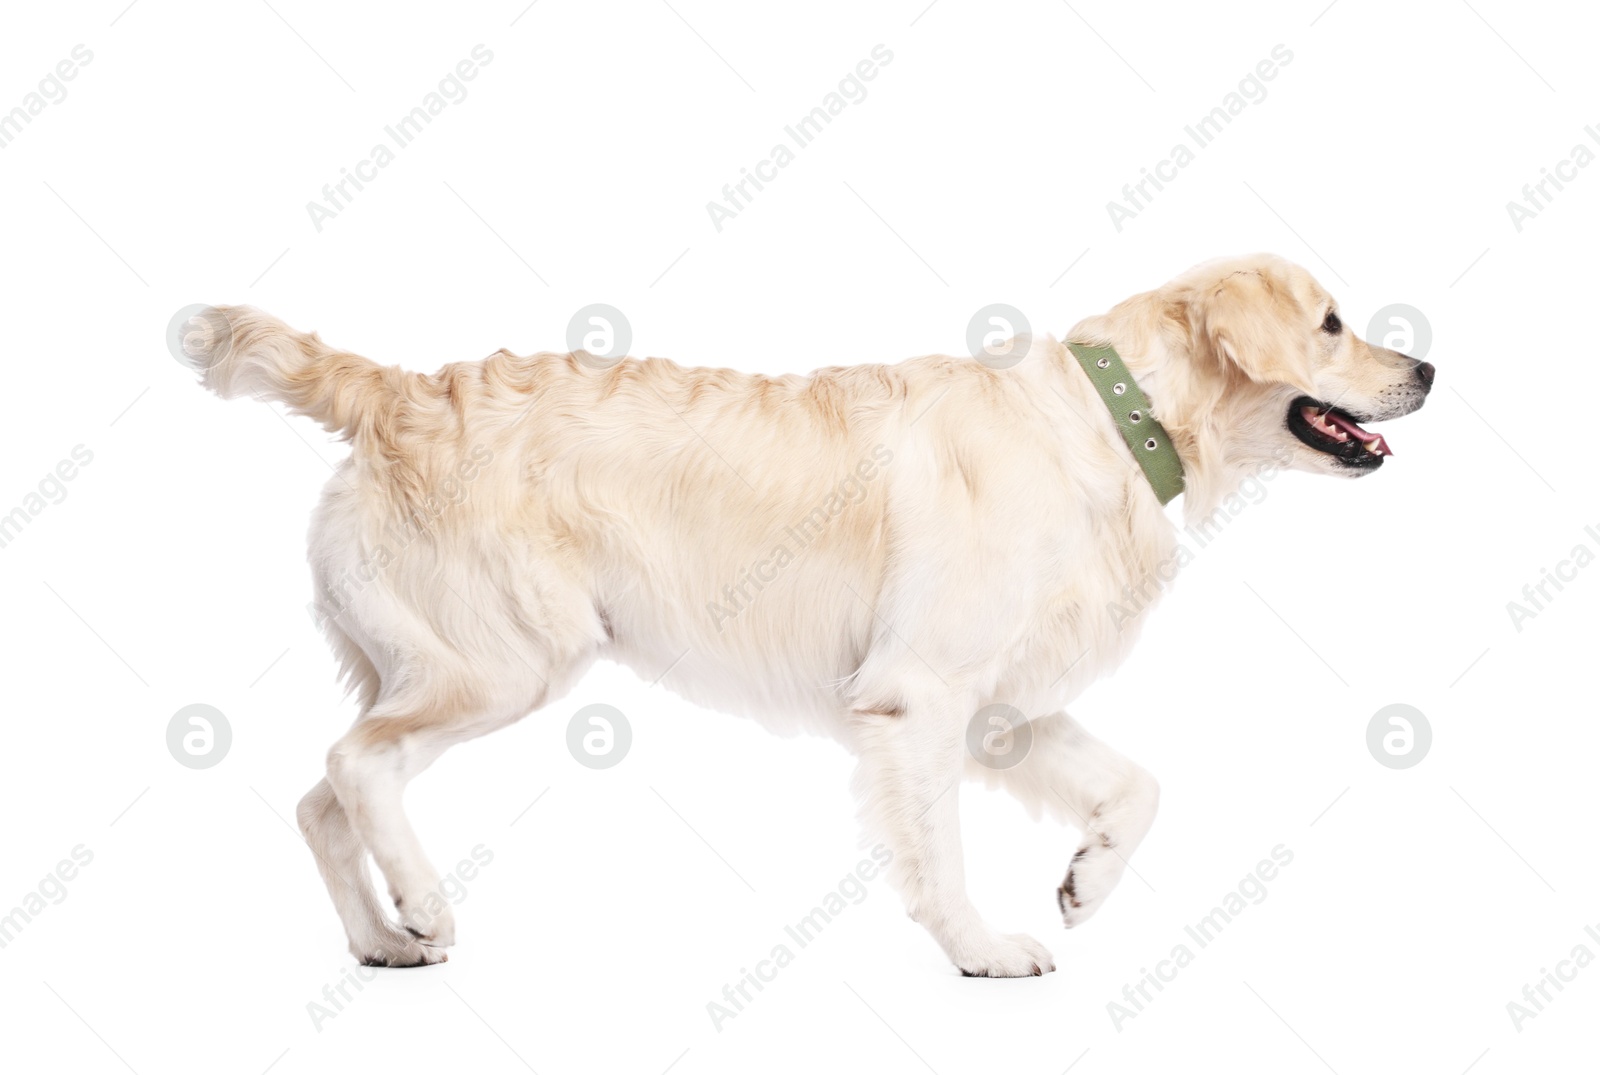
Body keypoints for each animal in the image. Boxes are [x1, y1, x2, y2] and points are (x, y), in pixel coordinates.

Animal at [181, 252, 1433, 972]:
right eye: (1331, 324)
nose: (1425, 369)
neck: (1115, 418)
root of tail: (393, 389)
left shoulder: (1000, 708)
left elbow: (1138, 785)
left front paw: (1087, 877)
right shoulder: (920, 697)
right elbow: (941, 851)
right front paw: (981, 949)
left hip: (426, 662)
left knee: (321, 795)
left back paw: (378, 938)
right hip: (503, 659)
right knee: (355, 767)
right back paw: (427, 909)